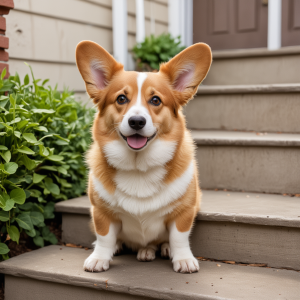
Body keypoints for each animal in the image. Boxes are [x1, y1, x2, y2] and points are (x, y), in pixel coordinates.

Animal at [74, 41, 211, 274]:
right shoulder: (100, 212)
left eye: (155, 100)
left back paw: (159, 249)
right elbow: (104, 238)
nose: (136, 121)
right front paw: (99, 259)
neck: (138, 166)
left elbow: (179, 237)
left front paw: (183, 259)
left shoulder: (184, 212)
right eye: (121, 98)